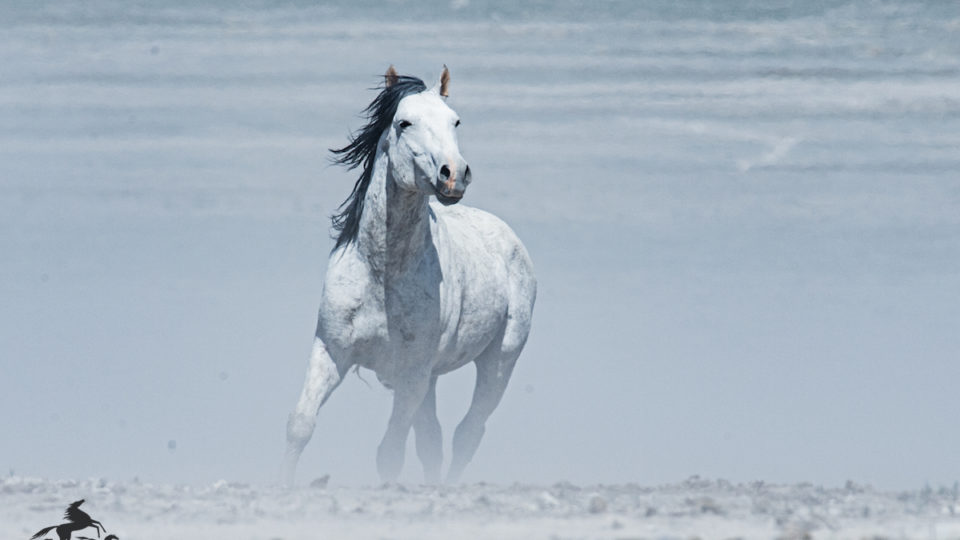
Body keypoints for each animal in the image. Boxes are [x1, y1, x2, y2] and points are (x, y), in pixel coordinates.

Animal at [283, 66, 536, 484]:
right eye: (404, 122)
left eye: (455, 121)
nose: (454, 175)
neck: (382, 276)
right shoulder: (331, 351)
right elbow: (300, 425)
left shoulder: (411, 374)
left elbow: (390, 452)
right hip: (431, 379)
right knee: (434, 439)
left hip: (499, 360)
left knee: (467, 432)